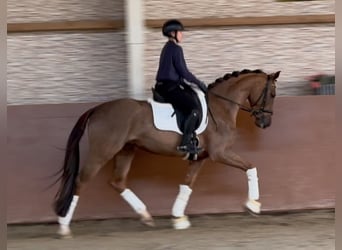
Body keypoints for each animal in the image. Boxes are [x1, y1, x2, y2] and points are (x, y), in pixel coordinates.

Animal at [53, 69, 280, 237]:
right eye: (272, 94)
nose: (265, 122)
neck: (220, 108)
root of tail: (97, 109)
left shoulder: (200, 158)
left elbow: (187, 185)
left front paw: (178, 218)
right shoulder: (220, 153)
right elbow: (250, 167)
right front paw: (253, 205)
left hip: (126, 150)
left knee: (117, 182)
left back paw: (145, 216)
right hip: (103, 151)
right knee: (80, 181)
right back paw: (64, 227)